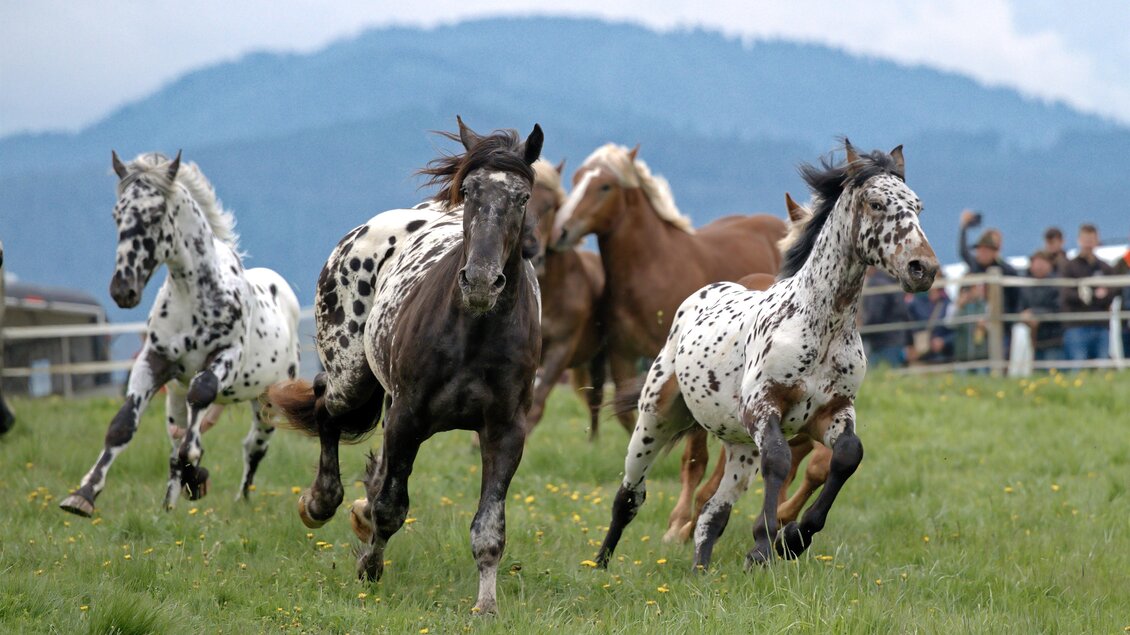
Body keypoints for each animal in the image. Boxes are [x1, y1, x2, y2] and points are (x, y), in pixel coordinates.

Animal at [59, 151, 300, 517]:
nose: (123, 289)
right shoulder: (155, 361)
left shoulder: (225, 356)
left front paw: (195, 470)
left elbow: (200, 403)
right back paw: (169, 504)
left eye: (156, 214)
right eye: (117, 215)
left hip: (268, 401)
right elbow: (123, 426)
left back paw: (240, 498)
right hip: (174, 396)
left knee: (253, 447)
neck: (194, 296)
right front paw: (83, 495)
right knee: (179, 436)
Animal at [269, 118, 543, 615]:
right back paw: (320, 502)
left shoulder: (506, 431)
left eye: (522, 196)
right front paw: (369, 568)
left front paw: (486, 605)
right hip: (352, 380)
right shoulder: (407, 417)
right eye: (470, 190)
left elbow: (489, 528)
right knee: (324, 406)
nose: (480, 281)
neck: (474, 334)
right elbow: (391, 507)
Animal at [551, 143, 787, 541]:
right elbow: (634, 422)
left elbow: (696, 454)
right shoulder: (624, 358)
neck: (649, 269)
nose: (562, 231)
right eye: (577, 177)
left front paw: (680, 522)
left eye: (605, 186)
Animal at [594, 141, 938, 571]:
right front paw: (762, 546)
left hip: (739, 445)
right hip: (656, 417)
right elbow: (778, 459)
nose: (923, 268)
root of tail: (701, 295)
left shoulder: (831, 412)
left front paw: (793, 539)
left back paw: (700, 571)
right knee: (630, 494)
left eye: (918, 206)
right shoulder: (763, 404)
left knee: (712, 512)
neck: (820, 326)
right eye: (876, 203)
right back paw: (601, 564)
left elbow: (846, 456)